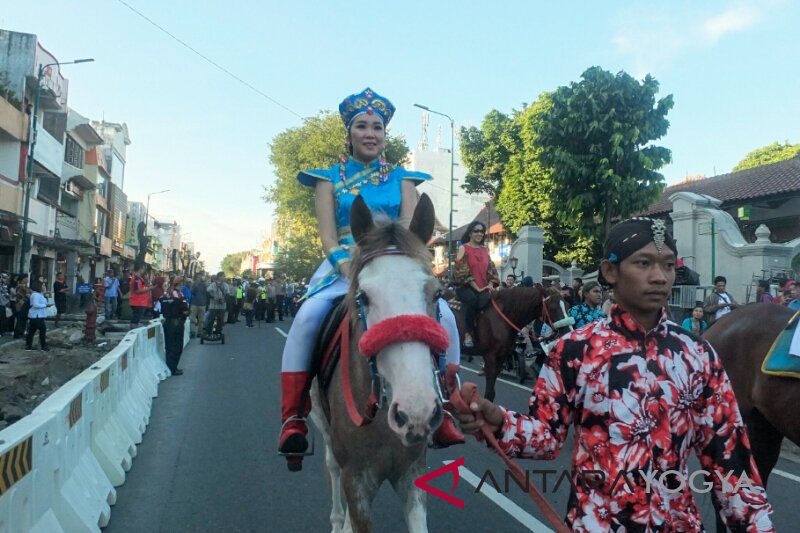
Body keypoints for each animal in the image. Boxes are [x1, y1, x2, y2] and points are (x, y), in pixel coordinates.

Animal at [310, 195, 444, 532]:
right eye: (363, 297)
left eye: (437, 293)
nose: (416, 411)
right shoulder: (356, 480)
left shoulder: (412, 474)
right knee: (331, 467)